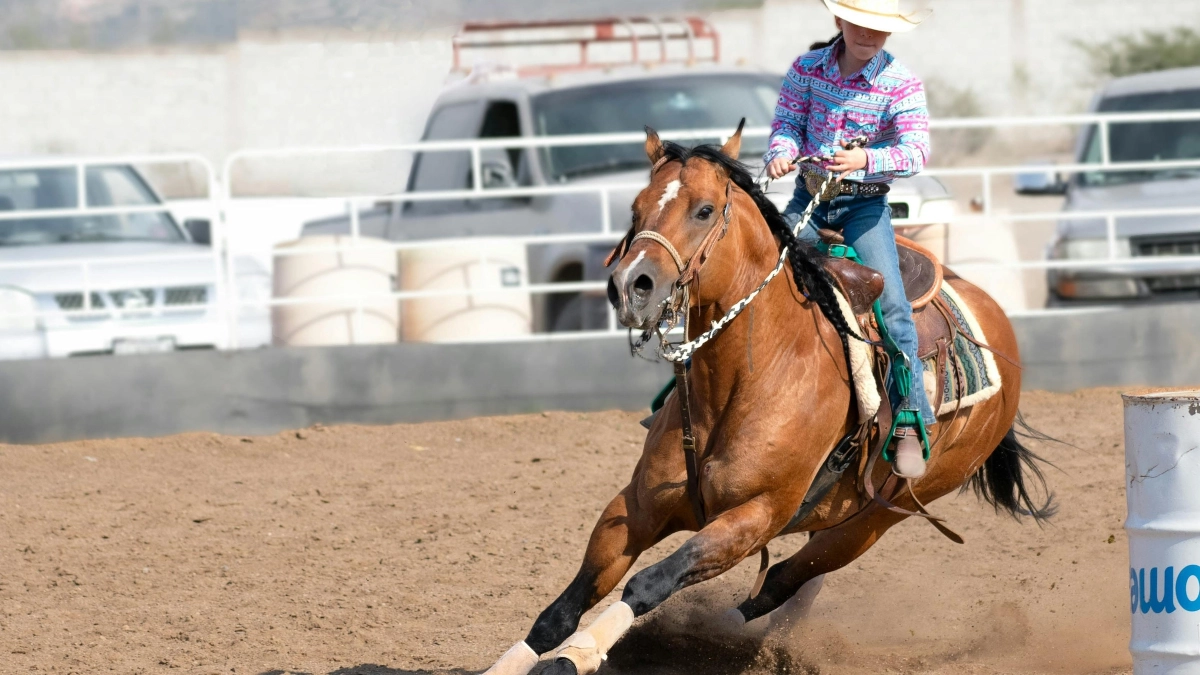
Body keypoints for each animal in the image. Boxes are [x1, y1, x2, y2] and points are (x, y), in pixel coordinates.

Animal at [481, 123, 1053, 675]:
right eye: (635, 208)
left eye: (704, 209)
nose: (631, 286)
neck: (747, 378)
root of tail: (993, 316)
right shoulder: (635, 506)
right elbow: (564, 606)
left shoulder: (754, 517)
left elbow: (650, 582)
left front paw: (575, 657)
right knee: (796, 580)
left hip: (877, 519)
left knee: (782, 579)